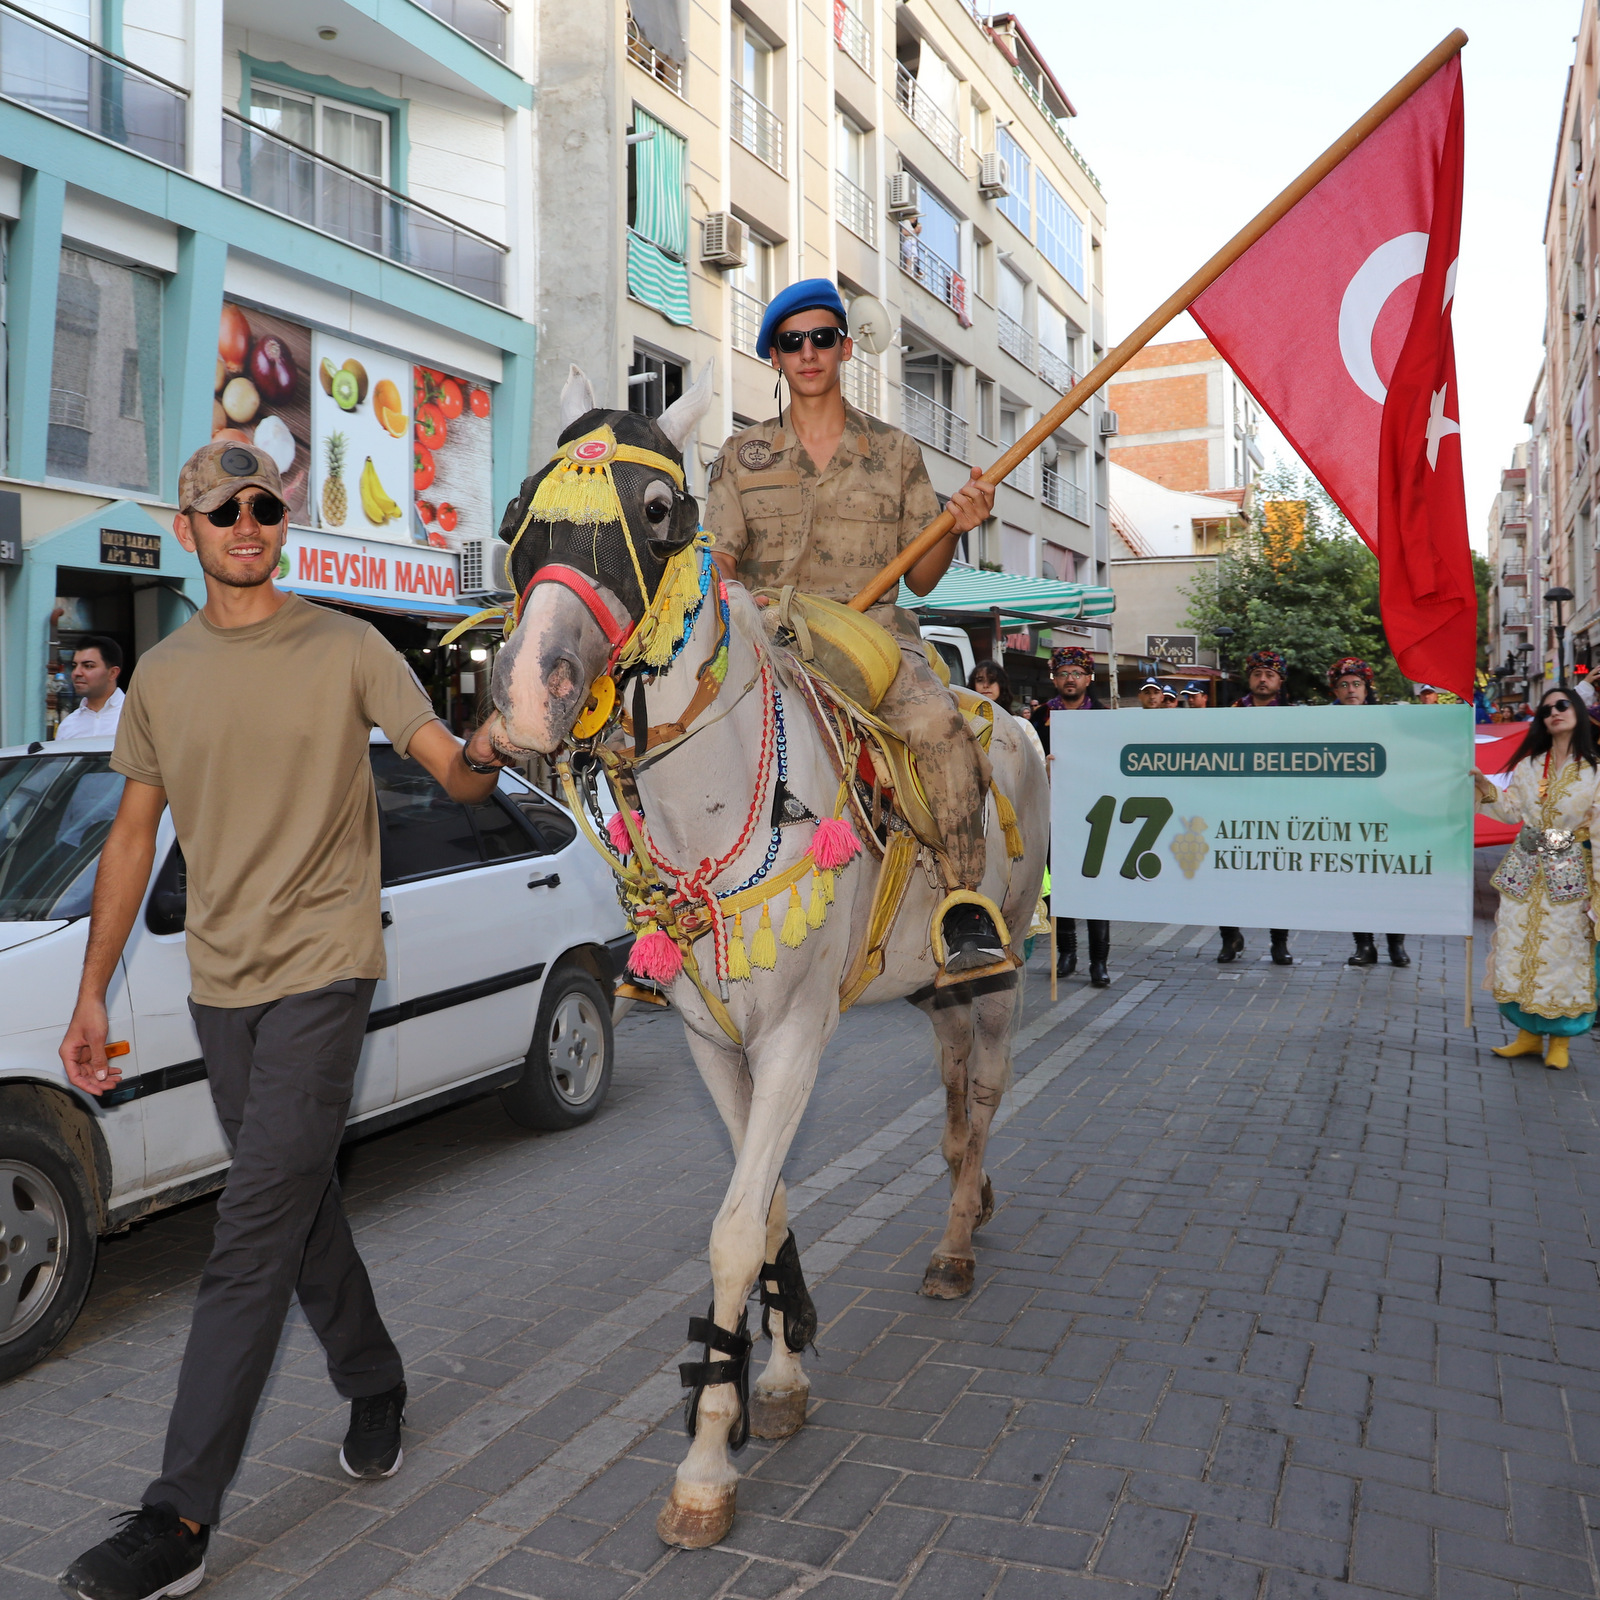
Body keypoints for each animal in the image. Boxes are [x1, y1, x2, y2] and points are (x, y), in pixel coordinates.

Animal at [492, 368, 1056, 1542]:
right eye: (521, 510)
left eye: (659, 513)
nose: (527, 691)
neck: (704, 804)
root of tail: (1010, 717)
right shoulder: (717, 1041)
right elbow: (768, 1207)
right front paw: (783, 1371)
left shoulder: (796, 1032)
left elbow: (732, 1227)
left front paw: (708, 1457)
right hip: (927, 988)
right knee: (949, 1089)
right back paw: (965, 1193)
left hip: (995, 970)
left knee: (984, 1090)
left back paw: (954, 1242)